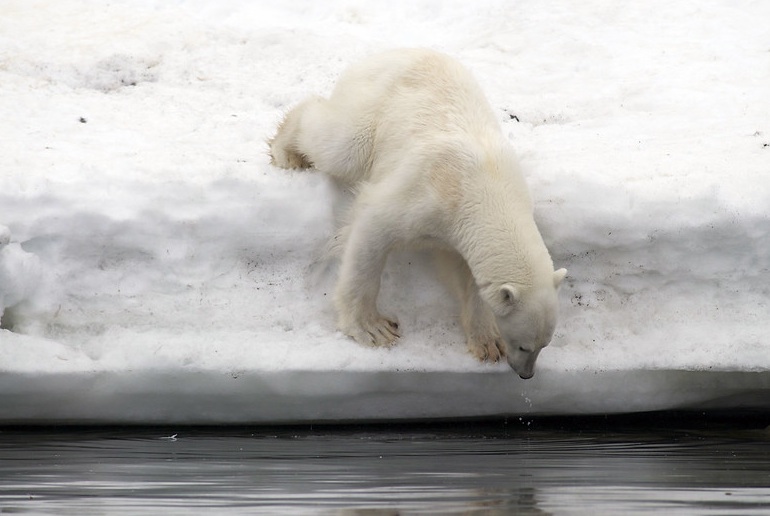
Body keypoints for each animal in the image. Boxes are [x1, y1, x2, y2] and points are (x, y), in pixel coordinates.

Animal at [268, 48, 564, 378]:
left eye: (544, 344)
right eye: (525, 345)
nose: (526, 373)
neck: (488, 187)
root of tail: (387, 54)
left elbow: (464, 271)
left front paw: (488, 343)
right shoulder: (427, 195)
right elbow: (372, 231)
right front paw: (373, 329)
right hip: (374, 108)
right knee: (340, 145)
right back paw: (287, 152)